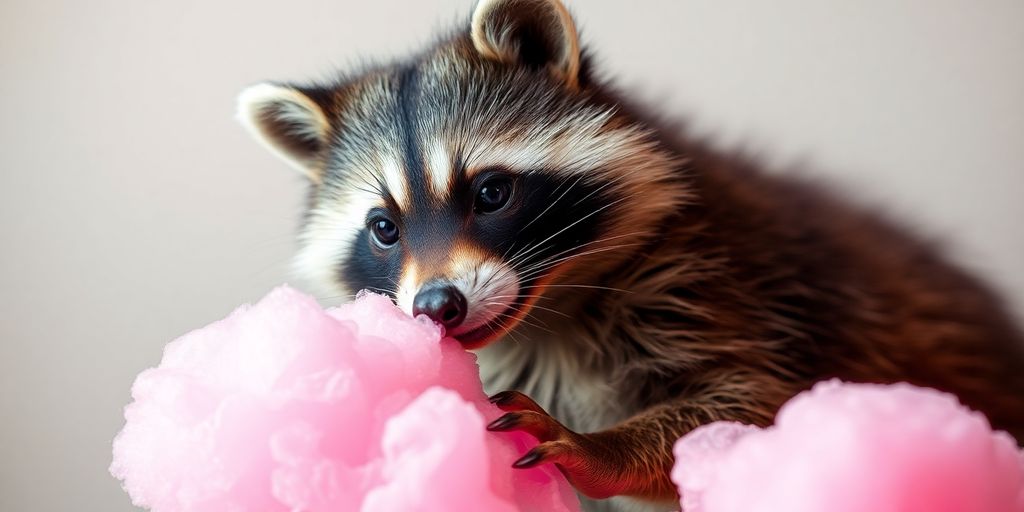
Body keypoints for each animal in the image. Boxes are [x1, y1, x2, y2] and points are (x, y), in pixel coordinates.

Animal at [235, 1, 1024, 507]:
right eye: (384, 228)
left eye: (491, 193)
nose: (436, 306)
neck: (547, 311)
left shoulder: (728, 282)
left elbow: (754, 406)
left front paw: (600, 449)